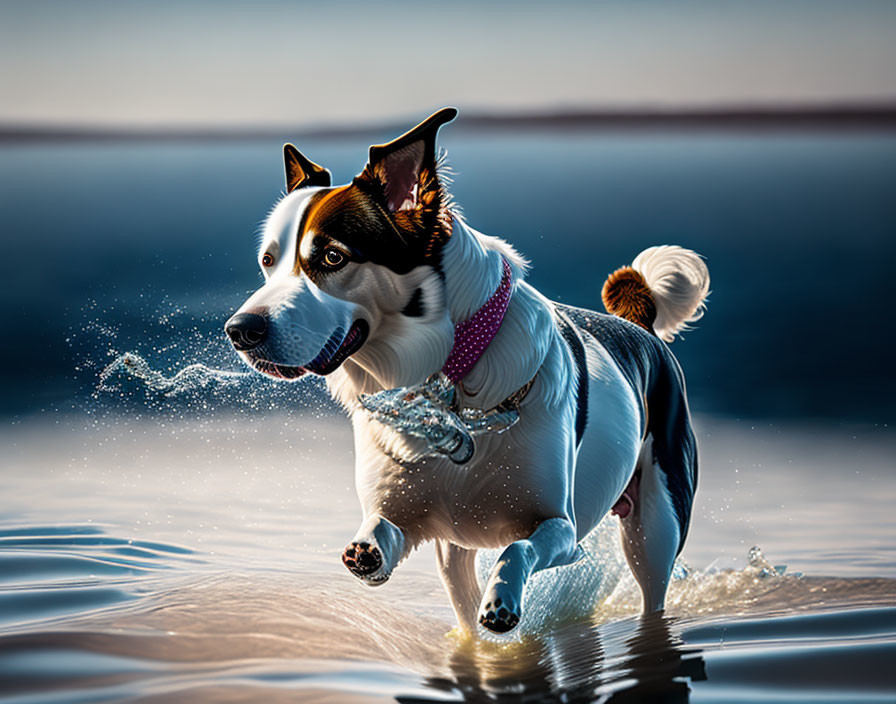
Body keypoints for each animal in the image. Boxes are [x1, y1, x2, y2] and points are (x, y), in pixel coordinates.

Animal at [228, 107, 712, 636]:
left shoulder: (562, 530)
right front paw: (367, 551)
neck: (445, 386)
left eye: (333, 257)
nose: (239, 331)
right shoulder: (411, 516)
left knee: (652, 587)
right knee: (459, 588)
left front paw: (502, 602)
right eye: (267, 263)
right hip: (454, 554)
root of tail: (638, 327)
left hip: (658, 523)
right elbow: (380, 530)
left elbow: (517, 548)